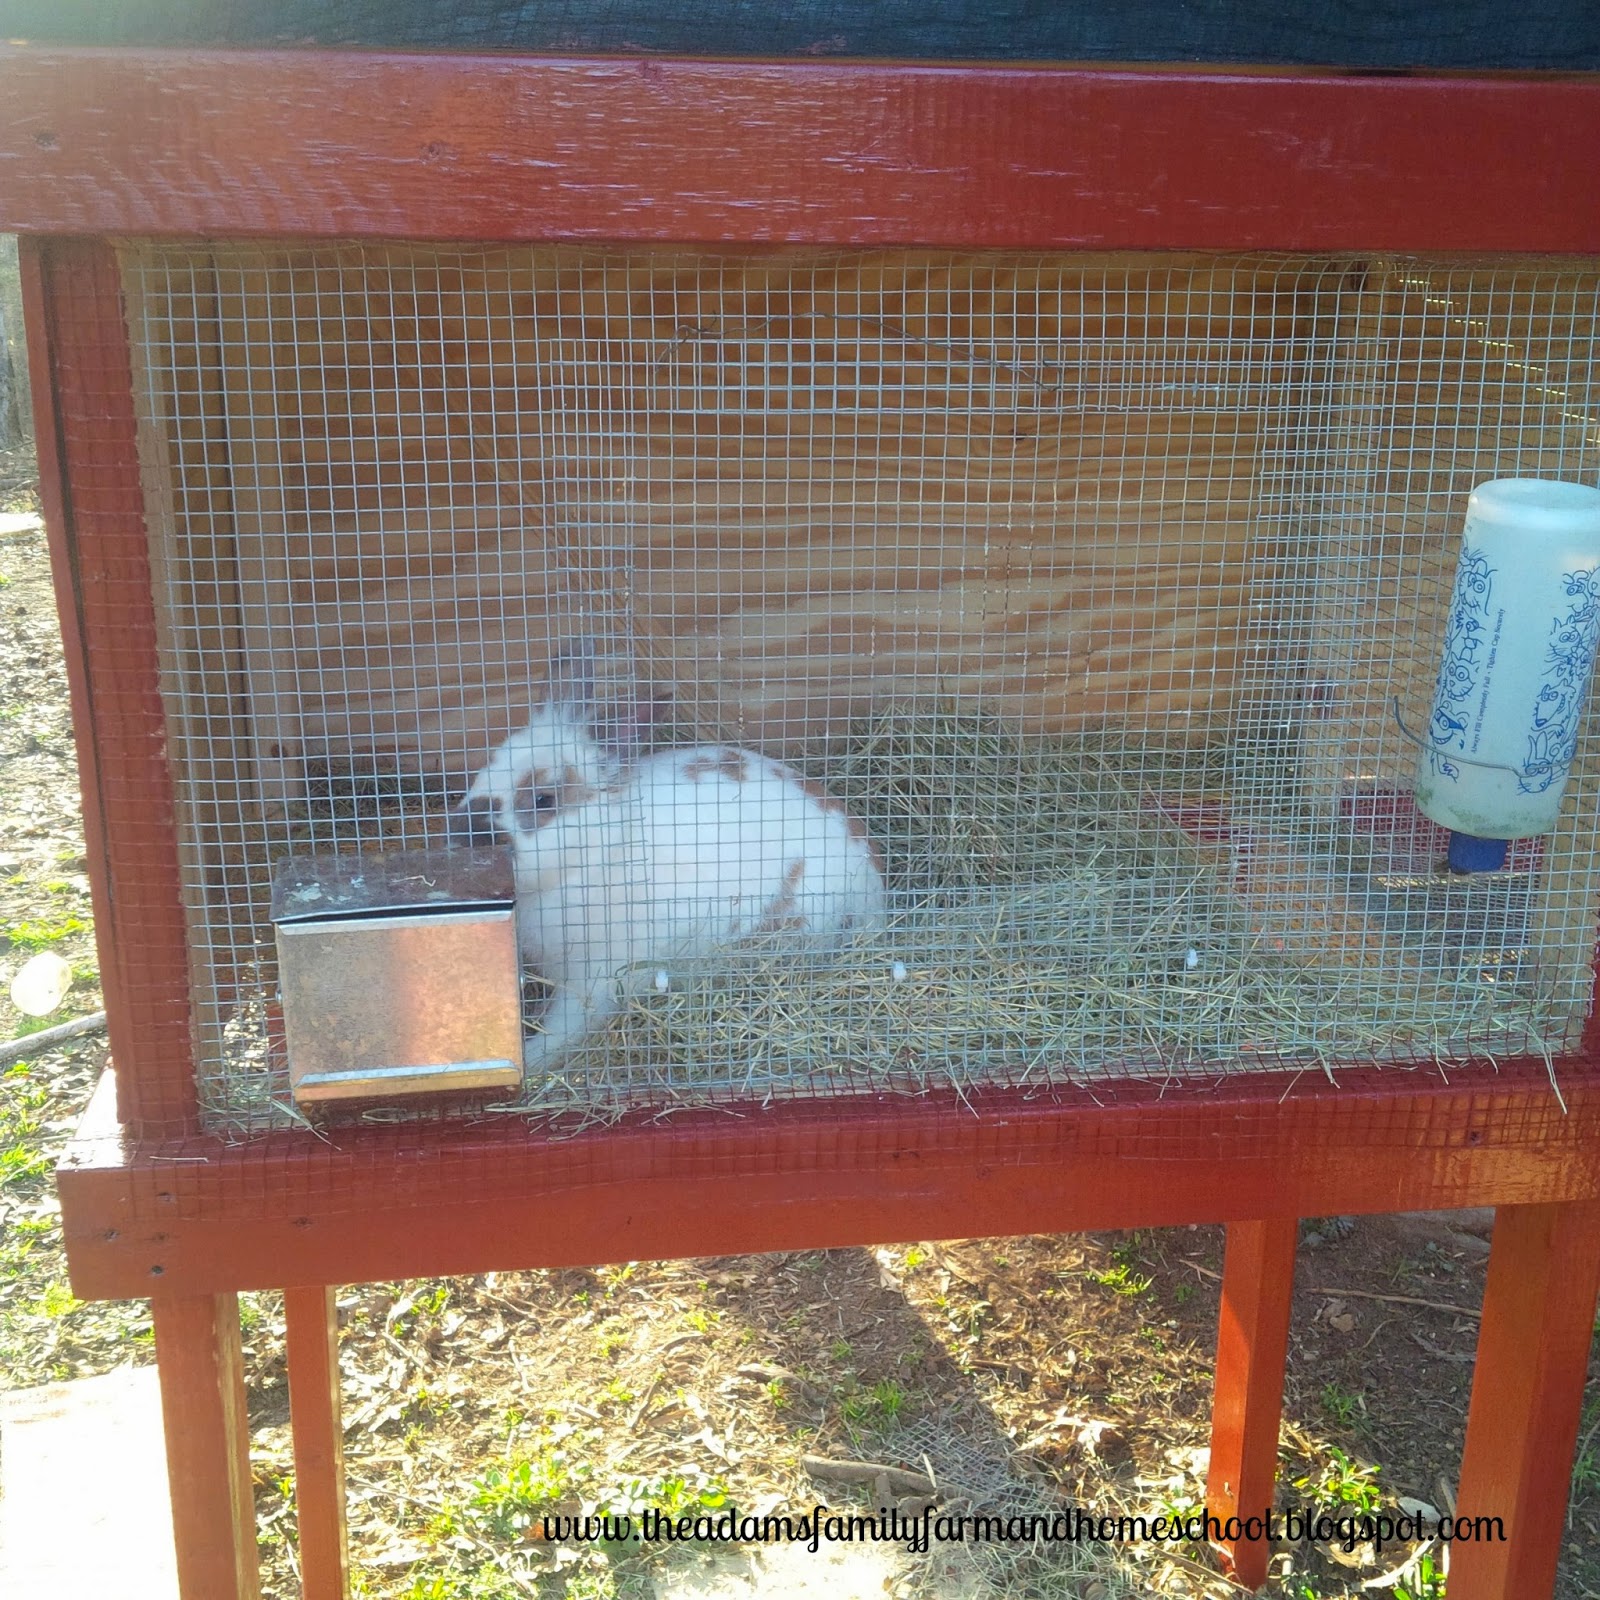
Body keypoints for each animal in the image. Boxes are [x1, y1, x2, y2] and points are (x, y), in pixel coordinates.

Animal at [451, 636, 889, 1075]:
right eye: (486, 768)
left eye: (543, 799)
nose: (460, 831)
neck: (602, 848)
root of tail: (872, 880)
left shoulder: (598, 978)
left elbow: (565, 1029)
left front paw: (533, 1060)